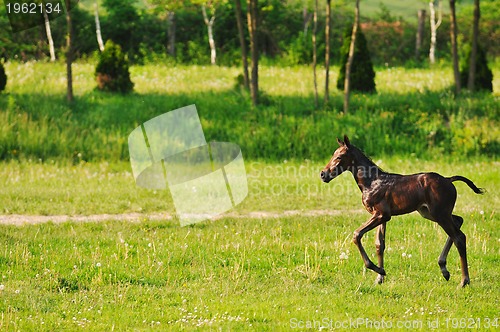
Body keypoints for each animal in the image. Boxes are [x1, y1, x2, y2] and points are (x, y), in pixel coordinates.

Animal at [320, 136, 484, 286]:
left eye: (339, 156)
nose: (323, 174)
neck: (371, 181)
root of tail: (449, 180)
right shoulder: (381, 216)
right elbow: (379, 245)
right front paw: (379, 278)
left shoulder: (381, 215)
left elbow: (357, 234)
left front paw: (378, 269)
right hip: (429, 212)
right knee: (458, 221)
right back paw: (444, 269)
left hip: (440, 214)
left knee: (459, 237)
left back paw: (464, 281)